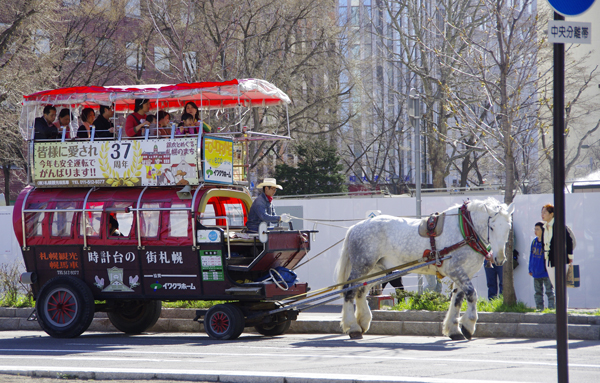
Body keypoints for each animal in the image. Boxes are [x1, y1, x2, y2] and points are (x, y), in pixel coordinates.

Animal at [336, 200, 512, 340]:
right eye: (492, 227)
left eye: (509, 227)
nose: (500, 258)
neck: (466, 230)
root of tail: (355, 227)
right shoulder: (456, 270)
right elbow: (471, 295)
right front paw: (468, 326)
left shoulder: (464, 272)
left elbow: (457, 299)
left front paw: (454, 330)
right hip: (362, 266)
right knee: (349, 291)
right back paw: (353, 327)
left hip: (376, 270)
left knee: (361, 291)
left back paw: (363, 322)